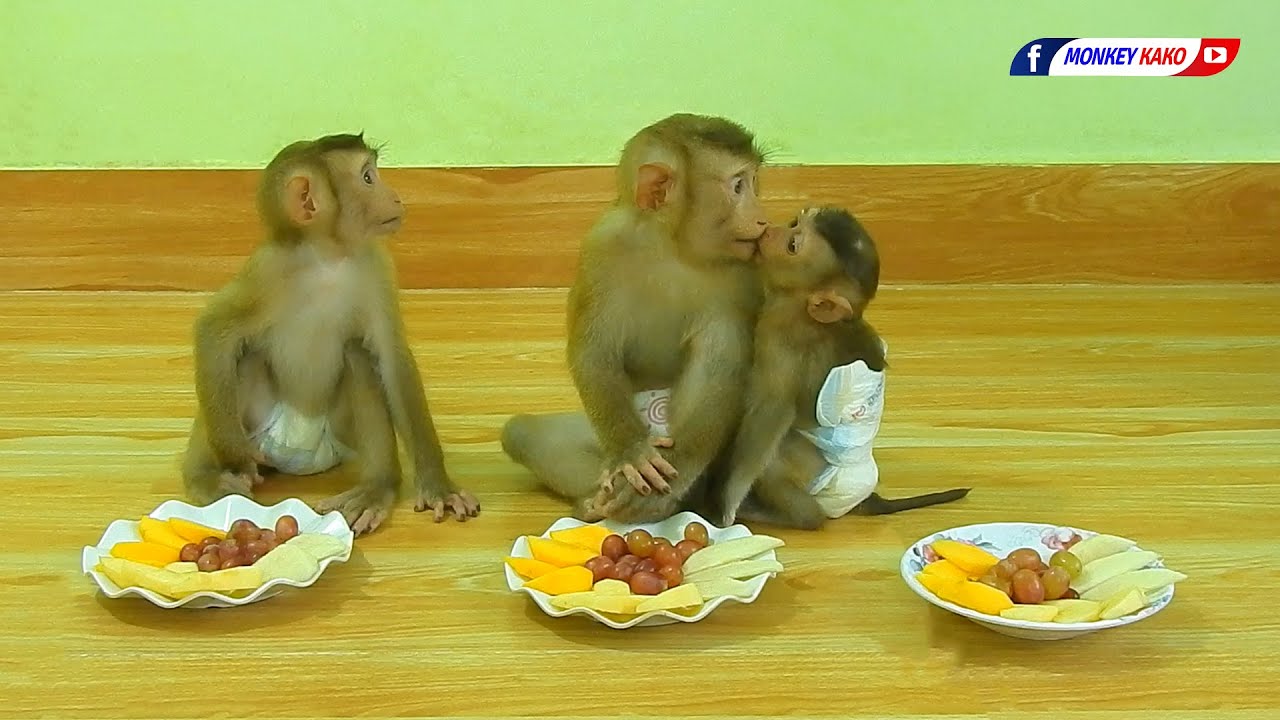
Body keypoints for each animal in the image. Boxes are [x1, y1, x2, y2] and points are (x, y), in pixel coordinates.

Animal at [181, 132, 479, 535]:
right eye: (368, 178)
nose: (396, 196)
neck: (327, 259)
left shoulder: (377, 267)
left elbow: (391, 358)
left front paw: (438, 486)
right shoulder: (265, 271)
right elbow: (214, 332)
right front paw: (236, 458)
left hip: (340, 440)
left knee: (358, 355)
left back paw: (376, 487)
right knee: (241, 359)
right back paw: (206, 477)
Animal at [500, 113, 769, 523]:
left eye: (753, 181)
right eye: (738, 186)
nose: (763, 219)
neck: (672, 247)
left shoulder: (741, 277)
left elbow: (723, 364)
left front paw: (677, 468)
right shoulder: (602, 251)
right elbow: (594, 352)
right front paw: (631, 453)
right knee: (524, 434)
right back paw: (595, 501)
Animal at [716, 206, 970, 530]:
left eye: (793, 245)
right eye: (794, 223)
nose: (769, 230)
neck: (801, 311)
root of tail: (862, 495)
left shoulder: (779, 345)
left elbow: (771, 413)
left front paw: (729, 502)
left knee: (776, 457)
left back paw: (796, 516)